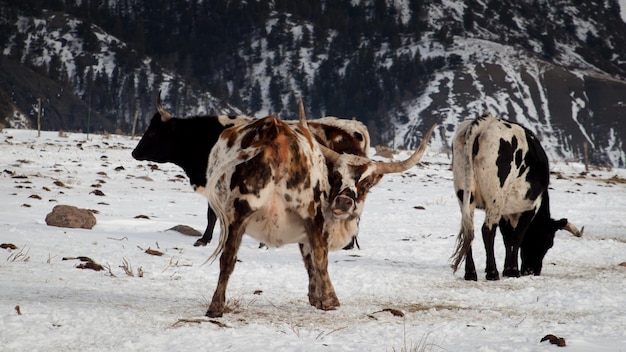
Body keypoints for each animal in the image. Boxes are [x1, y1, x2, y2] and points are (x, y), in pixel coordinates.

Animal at [201, 100, 434, 318]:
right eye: (336, 176)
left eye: (367, 183)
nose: (343, 202)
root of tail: (275, 135)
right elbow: (313, 259)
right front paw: (319, 298)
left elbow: (308, 259)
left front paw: (314, 297)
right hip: (308, 212)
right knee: (321, 257)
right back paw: (331, 300)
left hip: (240, 213)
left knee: (228, 258)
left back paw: (215, 307)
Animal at [448, 114, 580, 282]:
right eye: (548, 243)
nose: (532, 271)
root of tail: (485, 122)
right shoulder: (530, 207)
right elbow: (517, 236)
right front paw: (512, 270)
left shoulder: (506, 211)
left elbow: (507, 238)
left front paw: (506, 269)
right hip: (495, 198)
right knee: (487, 230)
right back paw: (492, 272)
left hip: (465, 194)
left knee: (469, 229)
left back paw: (470, 273)